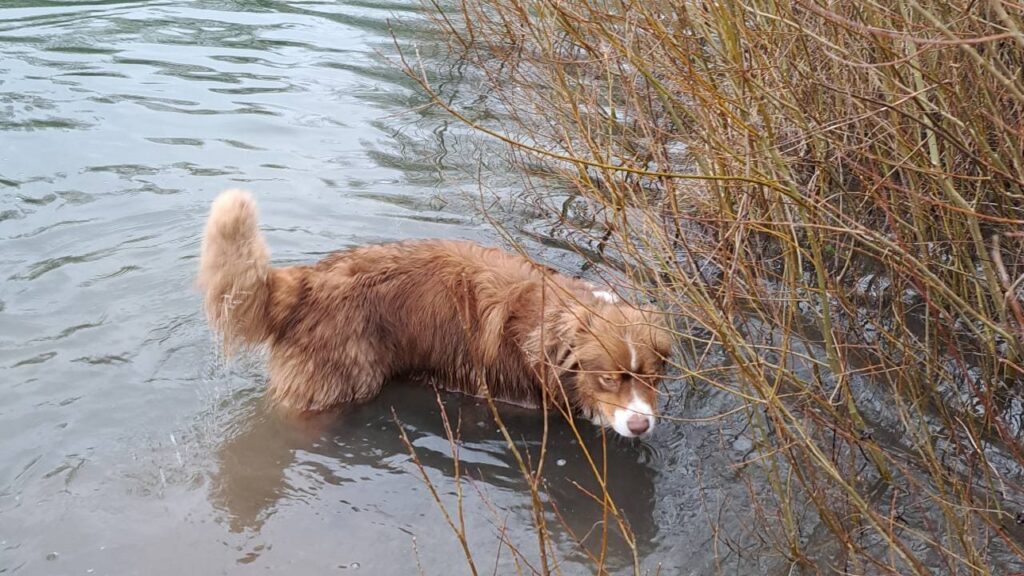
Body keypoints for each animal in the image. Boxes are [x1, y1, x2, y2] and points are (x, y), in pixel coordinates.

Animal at [197, 188, 671, 434]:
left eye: (651, 378)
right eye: (608, 379)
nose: (640, 426)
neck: (549, 327)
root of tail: (310, 279)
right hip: (336, 387)